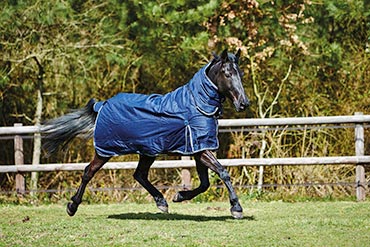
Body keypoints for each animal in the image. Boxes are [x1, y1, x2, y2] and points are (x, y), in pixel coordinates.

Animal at [40, 47, 250, 218]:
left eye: (240, 73)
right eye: (227, 73)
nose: (244, 103)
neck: (197, 103)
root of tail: (103, 104)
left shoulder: (200, 149)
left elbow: (206, 183)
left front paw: (179, 195)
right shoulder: (201, 150)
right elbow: (223, 172)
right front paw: (236, 208)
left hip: (147, 151)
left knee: (139, 175)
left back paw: (162, 202)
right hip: (105, 150)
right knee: (88, 172)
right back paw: (72, 206)